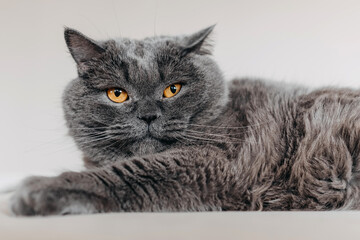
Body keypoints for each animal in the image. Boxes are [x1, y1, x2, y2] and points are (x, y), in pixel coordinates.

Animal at [9, 25, 360, 216]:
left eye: (172, 89)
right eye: (117, 94)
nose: (148, 115)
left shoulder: (210, 161)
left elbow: (128, 173)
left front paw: (38, 189)